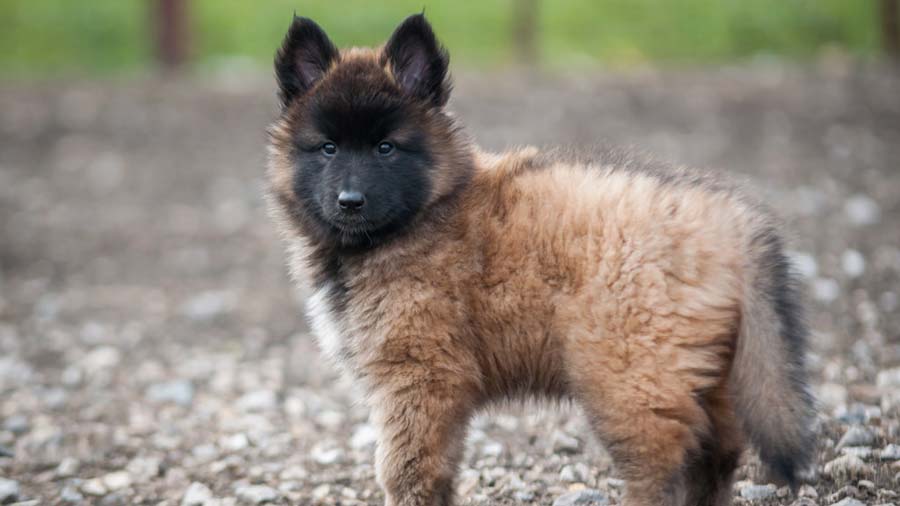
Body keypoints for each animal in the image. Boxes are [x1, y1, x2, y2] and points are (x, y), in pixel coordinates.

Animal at [266, 14, 816, 506]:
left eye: (386, 148)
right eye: (328, 148)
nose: (350, 201)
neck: (426, 212)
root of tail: (729, 221)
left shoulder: (419, 378)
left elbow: (407, 470)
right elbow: (440, 470)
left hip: (631, 381)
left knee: (662, 470)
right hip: (705, 375)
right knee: (716, 456)